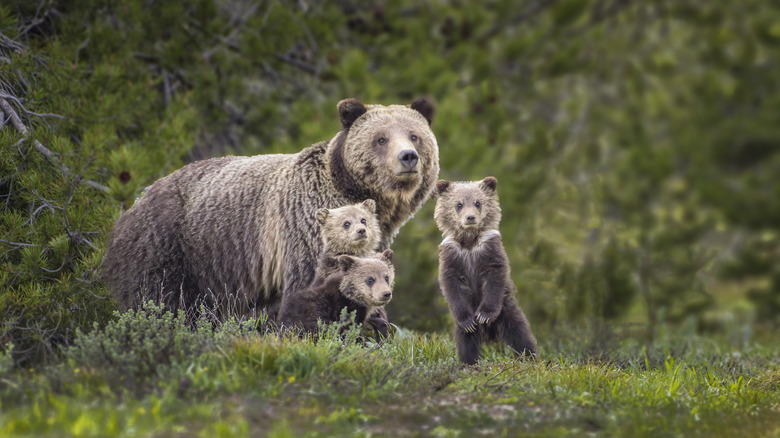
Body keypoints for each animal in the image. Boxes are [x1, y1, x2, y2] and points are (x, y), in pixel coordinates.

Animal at [102, 98, 438, 318]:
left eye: (414, 135)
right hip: (170, 246)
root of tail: (133, 203)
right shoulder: (306, 226)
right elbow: (312, 284)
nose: (408, 156)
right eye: (381, 139)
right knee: (157, 299)